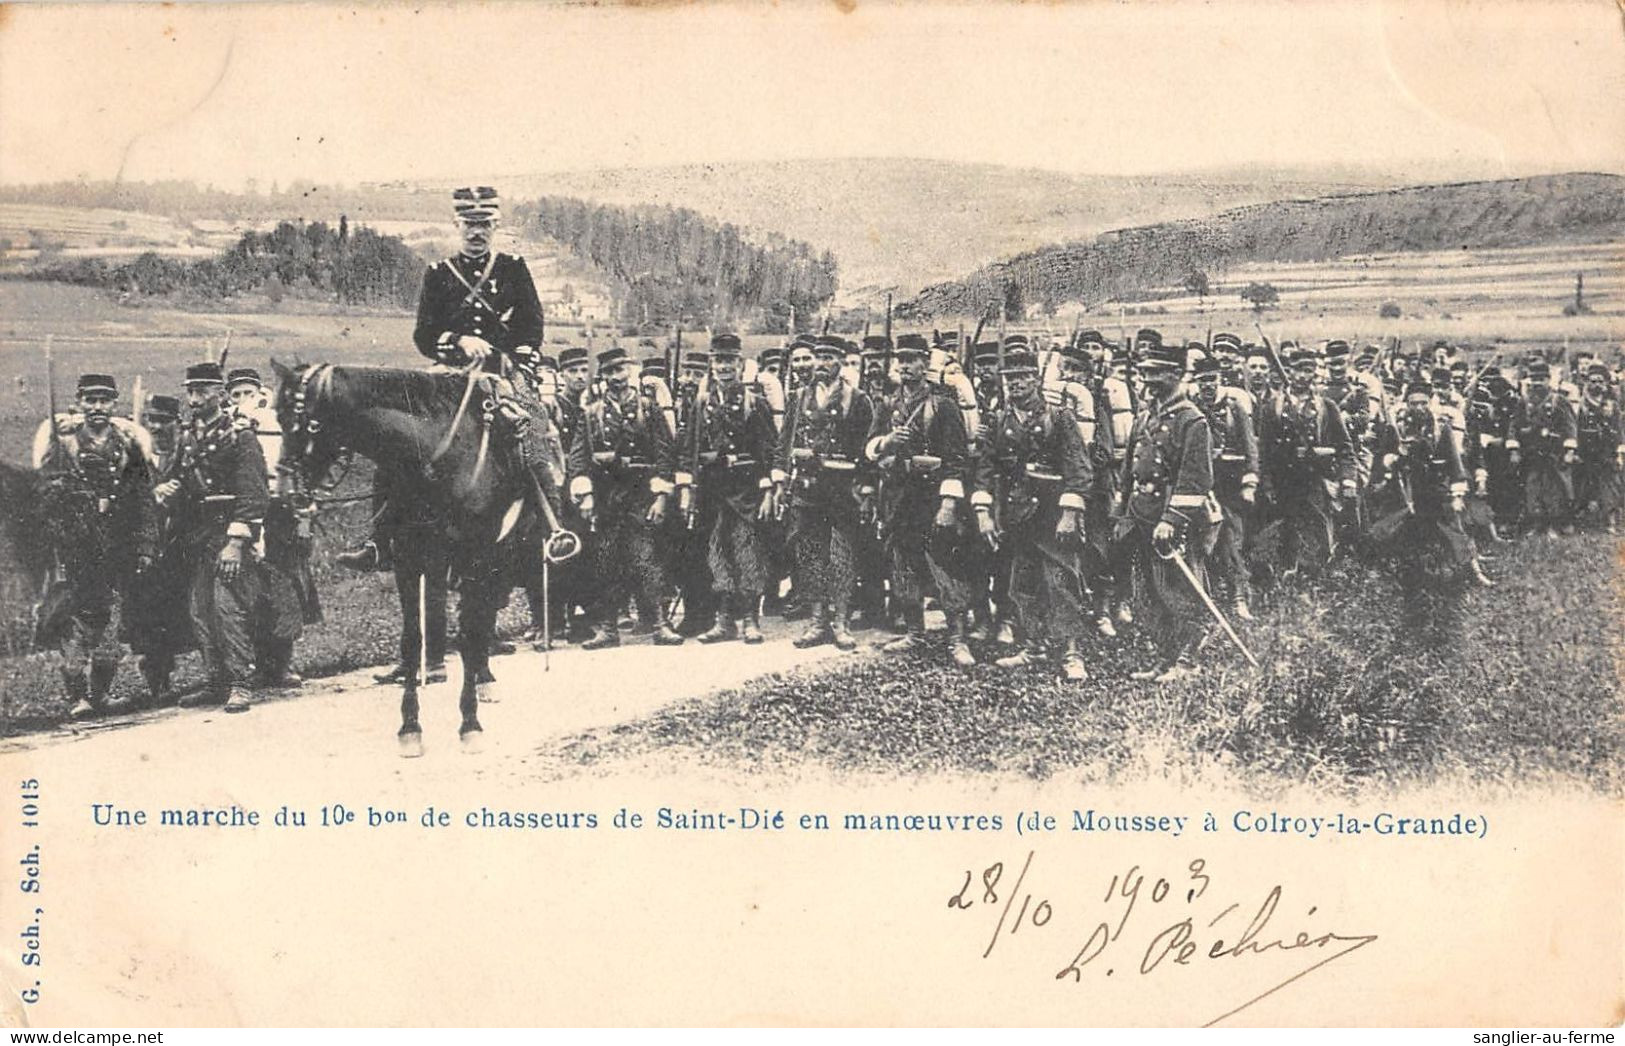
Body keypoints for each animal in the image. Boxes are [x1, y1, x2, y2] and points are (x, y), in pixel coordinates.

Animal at [279, 363, 578, 756]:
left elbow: (468, 635)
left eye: (305, 423)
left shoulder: (477, 559)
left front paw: (470, 723)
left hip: (499, 558)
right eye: (278, 418)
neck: (436, 461)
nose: (284, 493)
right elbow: (412, 639)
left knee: (482, 619)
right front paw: (410, 727)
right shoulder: (410, 563)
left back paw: (485, 679)